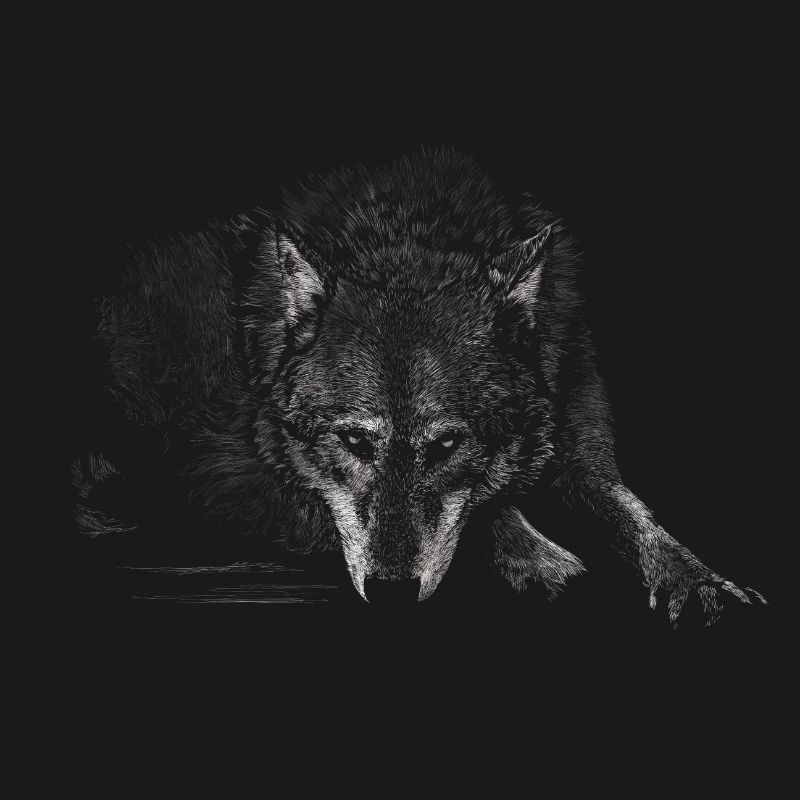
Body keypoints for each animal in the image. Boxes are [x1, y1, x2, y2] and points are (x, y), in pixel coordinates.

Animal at [75, 148, 765, 623]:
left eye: (447, 445)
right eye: (355, 443)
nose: (390, 594)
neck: (411, 236)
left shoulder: (583, 456)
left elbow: (636, 515)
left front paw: (700, 581)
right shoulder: (225, 472)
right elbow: (492, 510)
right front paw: (541, 558)